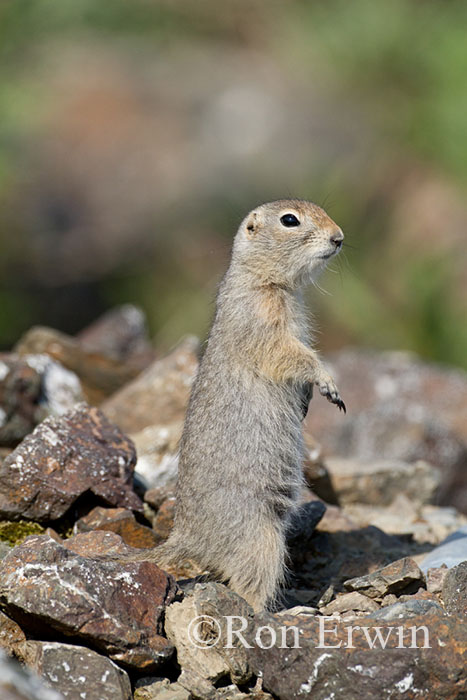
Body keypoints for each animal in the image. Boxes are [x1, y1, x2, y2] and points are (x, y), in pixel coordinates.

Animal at [153, 200, 344, 608]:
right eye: (290, 220)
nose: (339, 238)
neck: (267, 281)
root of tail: (184, 538)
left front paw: (309, 400)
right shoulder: (264, 324)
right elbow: (293, 356)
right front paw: (329, 385)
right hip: (262, 538)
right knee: (247, 583)